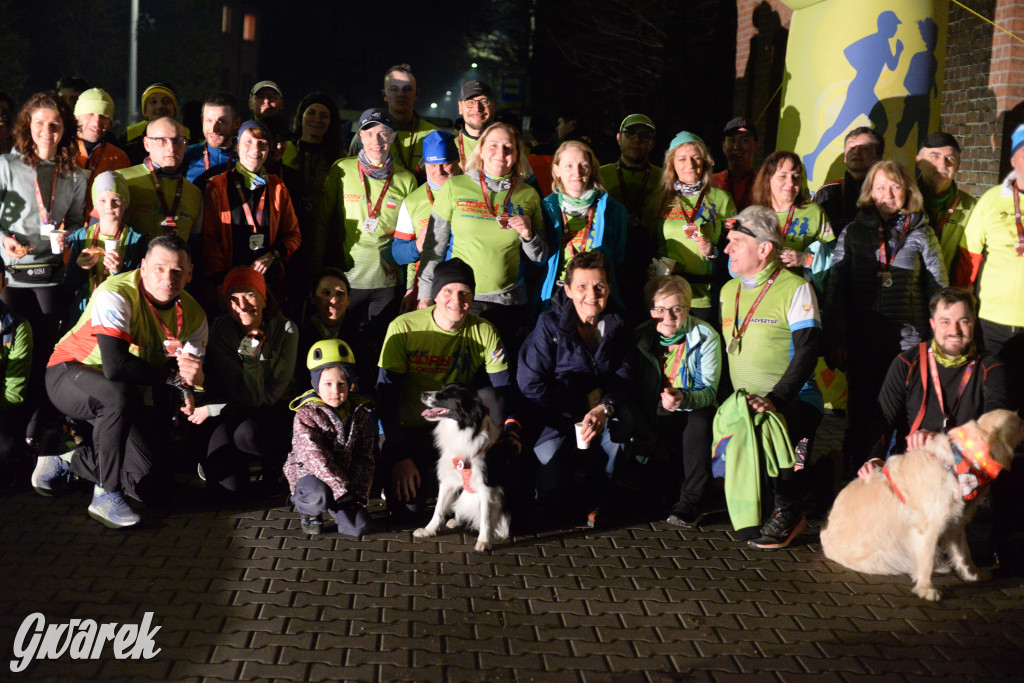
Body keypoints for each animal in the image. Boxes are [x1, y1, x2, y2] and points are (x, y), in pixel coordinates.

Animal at [413, 382, 509, 552]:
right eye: (442, 389)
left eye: (447, 395)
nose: (423, 394)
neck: (462, 430)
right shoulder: (448, 481)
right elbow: (438, 509)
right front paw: (428, 530)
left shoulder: (487, 488)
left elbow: (485, 517)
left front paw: (484, 541)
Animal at [823, 409, 1024, 602]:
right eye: (1020, 424)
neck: (961, 462)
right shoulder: (929, 525)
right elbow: (926, 560)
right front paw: (926, 589)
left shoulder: (954, 521)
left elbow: (964, 553)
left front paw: (973, 574)